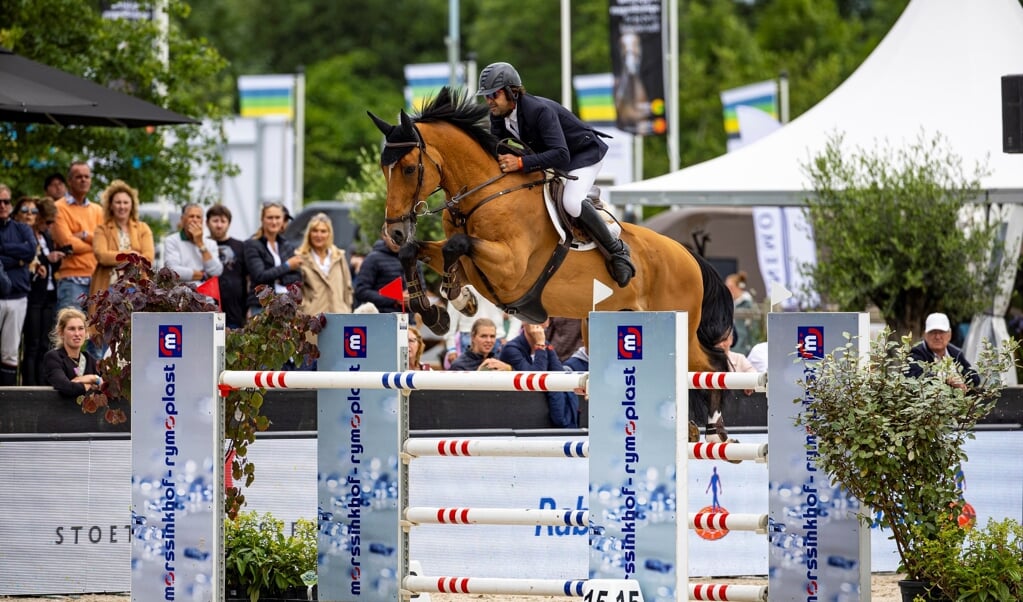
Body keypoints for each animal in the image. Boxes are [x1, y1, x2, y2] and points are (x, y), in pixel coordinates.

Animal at [368, 88, 736, 432]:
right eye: (384, 169)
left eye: (409, 168)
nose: (395, 231)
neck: (484, 194)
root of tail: (690, 258)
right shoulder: (477, 263)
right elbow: (417, 252)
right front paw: (439, 310)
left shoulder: (509, 268)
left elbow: (455, 246)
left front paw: (454, 295)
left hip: (680, 325)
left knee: (715, 364)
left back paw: (714, 427)